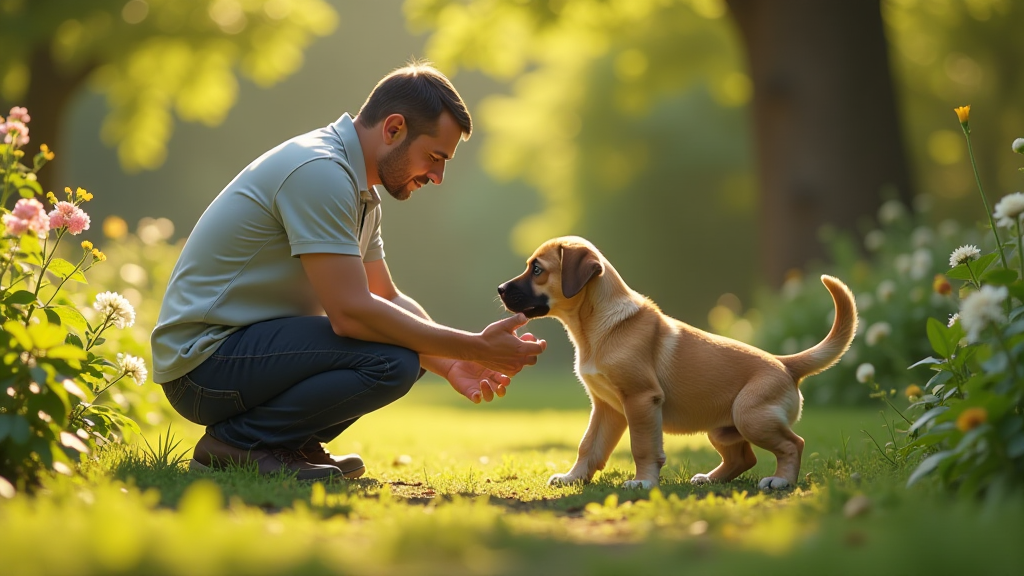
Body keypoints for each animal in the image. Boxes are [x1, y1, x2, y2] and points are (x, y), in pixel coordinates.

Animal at [495, 235, 856, 485]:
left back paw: (780, 481)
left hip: (750, 415)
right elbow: (589, 446)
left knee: (793, 443)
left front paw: (642, 482)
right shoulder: (607, 407)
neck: (597, 326)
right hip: (723, 428)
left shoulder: (640, 400)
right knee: (743, 458)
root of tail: (785, 363)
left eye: (538, 270)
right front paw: (573, 478)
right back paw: (709, 480)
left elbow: (642, 446)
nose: (499, 288)